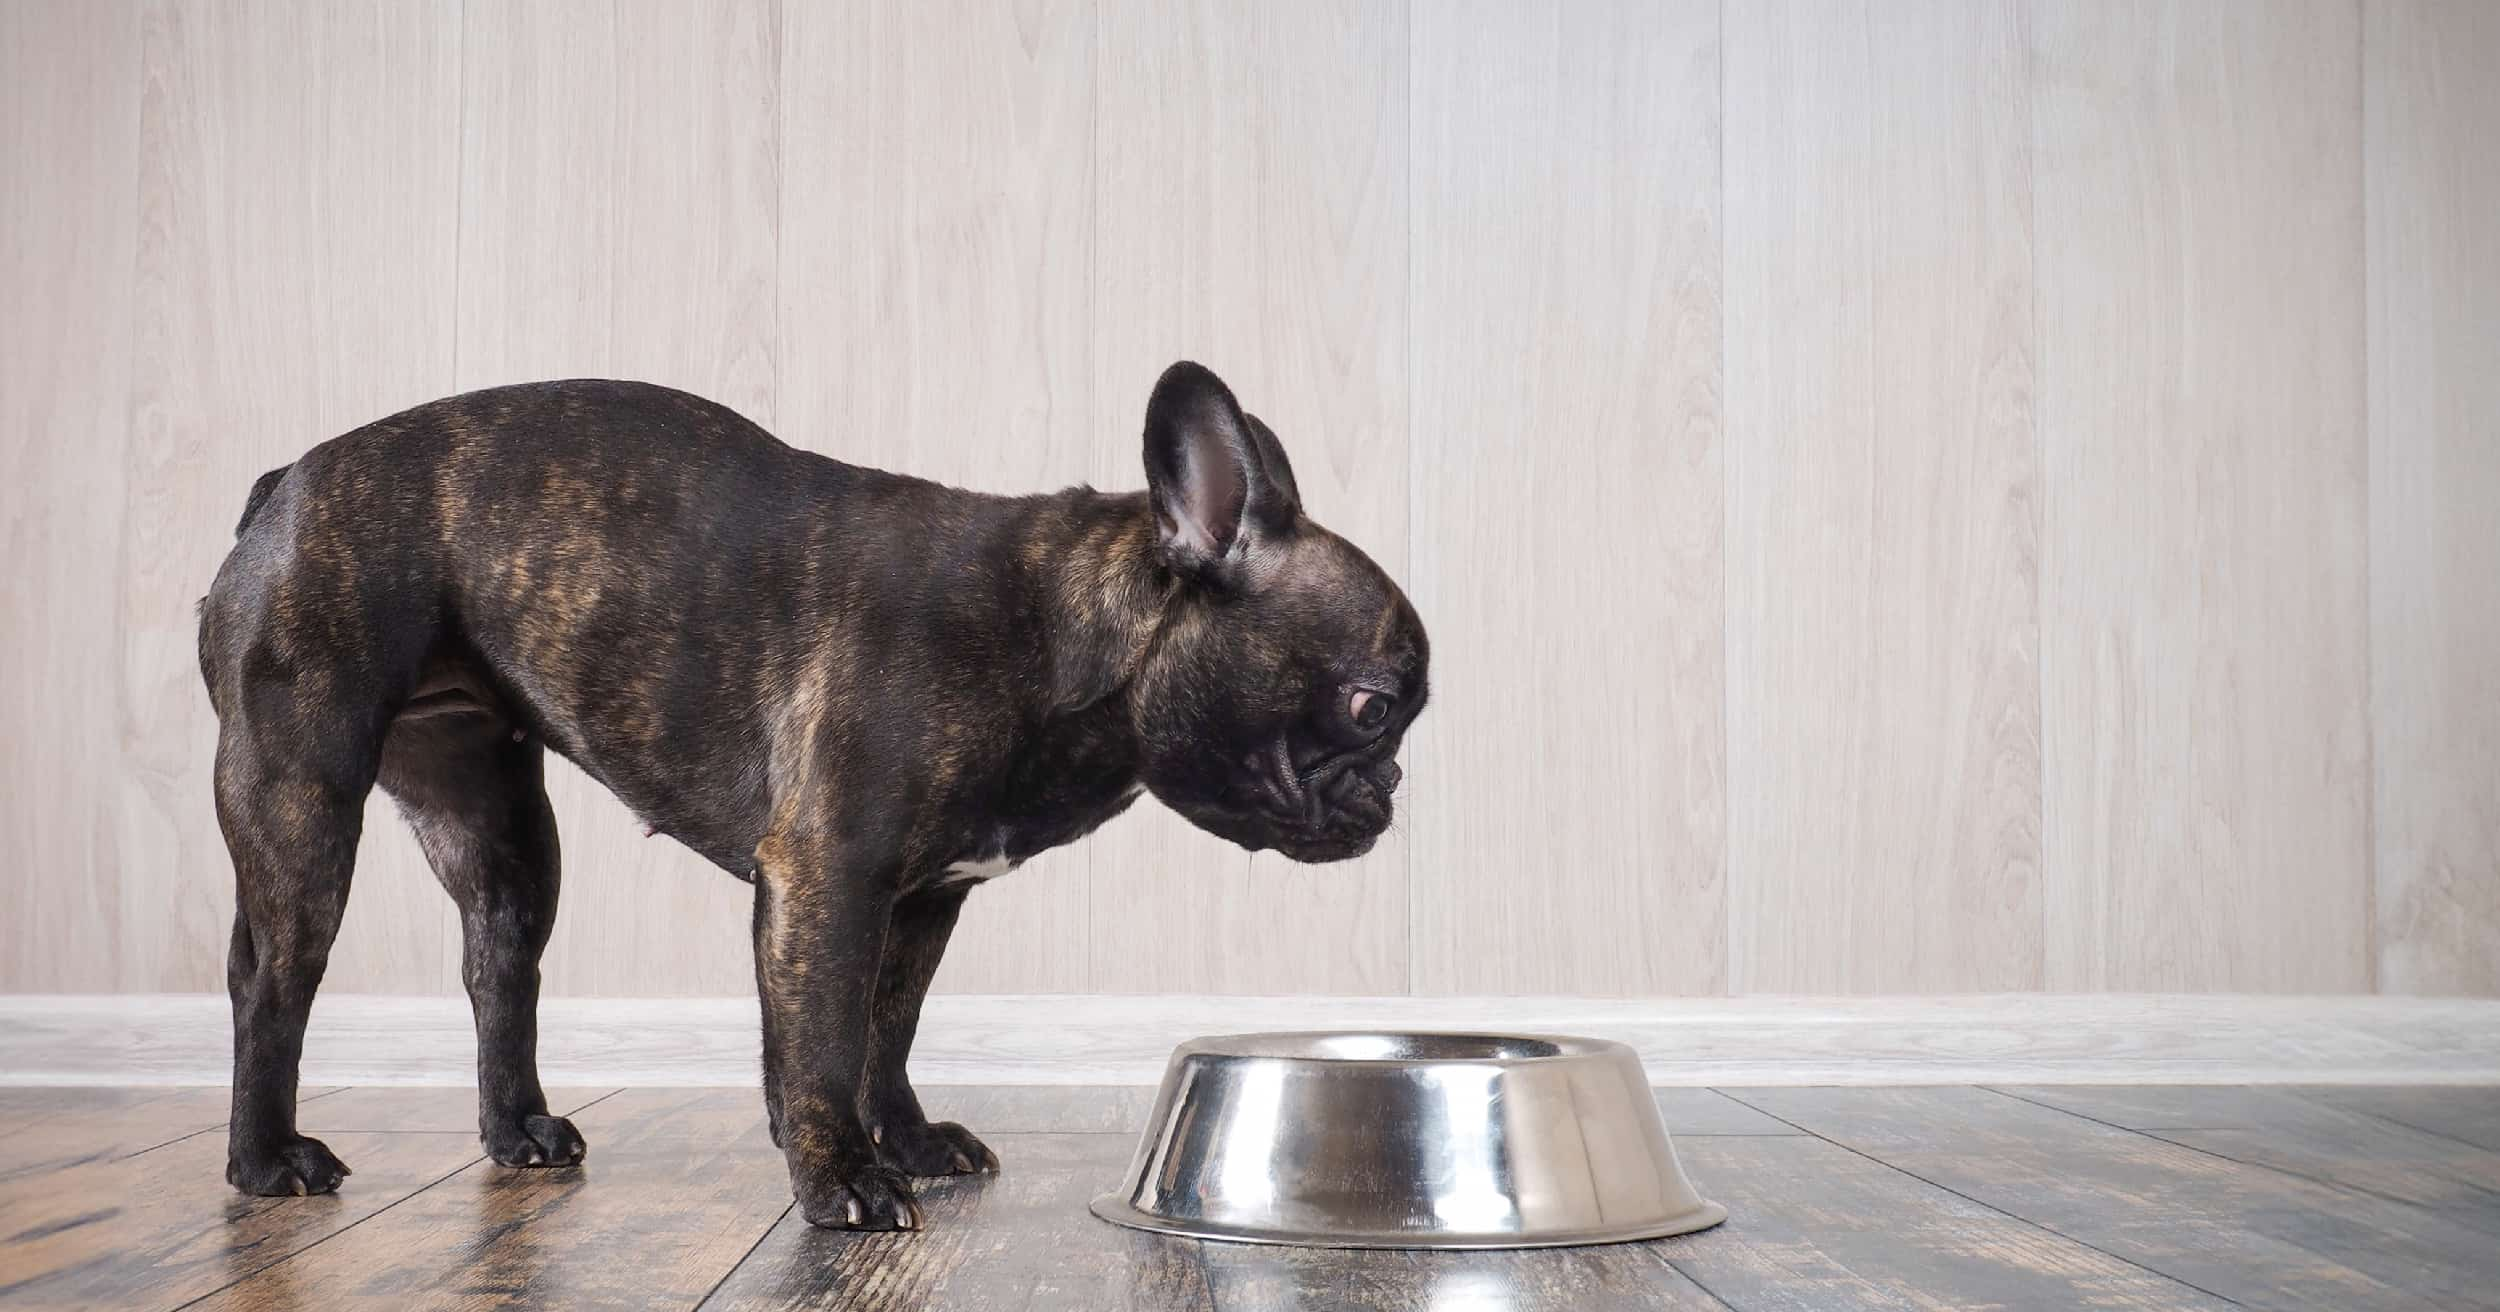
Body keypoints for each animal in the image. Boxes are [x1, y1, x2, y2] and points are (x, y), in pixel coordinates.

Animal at [195, 359, 1430, 1229]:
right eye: (1372, 707)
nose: (1394, 787)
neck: (1055, 635)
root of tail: (282, 485)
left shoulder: (922, 899)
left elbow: (886, 1026)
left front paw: (906, 1142)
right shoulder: (830, 875)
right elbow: (825, 1030)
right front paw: (841, 1177)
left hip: (498, 824)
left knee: (498, 962)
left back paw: (519, 1131)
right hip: (302, 795)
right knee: (269, 977)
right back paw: (264, 1161)